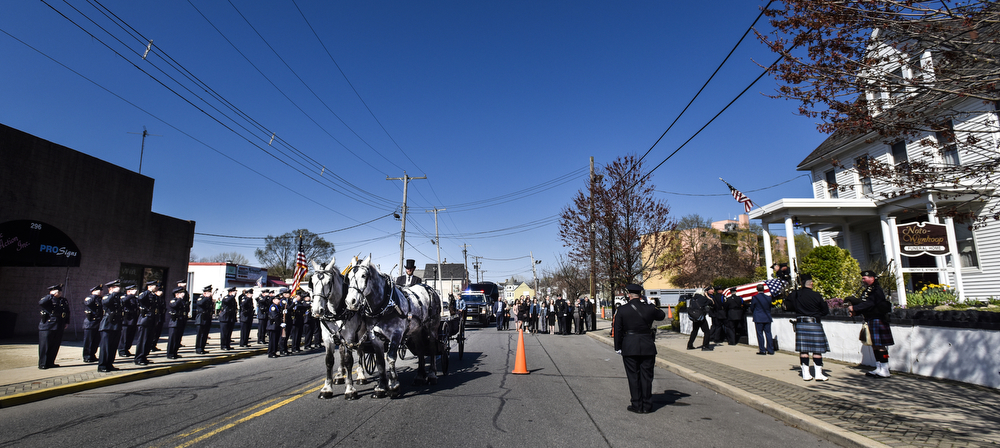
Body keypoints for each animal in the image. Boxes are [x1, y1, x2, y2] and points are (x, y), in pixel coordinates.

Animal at [306, 258, 374, 400]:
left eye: (328, 282)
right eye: (312, 282)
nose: (317, 310)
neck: (336, 310)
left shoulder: (349, 337)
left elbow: (349, 361)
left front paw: (350, 389)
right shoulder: (328, 338)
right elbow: (329, 361)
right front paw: (327, 388)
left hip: (360, 335)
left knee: (360, 352)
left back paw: (360, 375)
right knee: (342, 352)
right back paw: (339, 375)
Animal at [342, 254, 440, 398]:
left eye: (364, 275)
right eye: (348, 278)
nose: (350, 302)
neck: (384, 304)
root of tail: (429, 288)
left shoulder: (396, 334)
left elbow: (390, 357)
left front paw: (393, 386)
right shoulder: (374, 336)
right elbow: (380, 361)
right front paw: (381, 387)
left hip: (432, 327)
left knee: (432, 347)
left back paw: (432, 375)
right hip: (416, 330)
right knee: (421, 349)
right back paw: (419, 377)